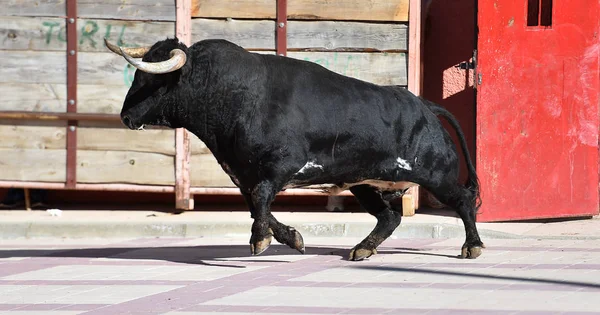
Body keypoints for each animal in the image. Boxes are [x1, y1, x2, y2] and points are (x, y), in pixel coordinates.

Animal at [105, 37, 486, 260]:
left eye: (151, 79)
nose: (125, 116)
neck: (232, 94)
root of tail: (424, 105)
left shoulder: (281, 166)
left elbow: (260, 200)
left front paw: (260, 241)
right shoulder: (243, 175)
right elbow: (256, 206)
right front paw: (292, 239)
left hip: (436, 175)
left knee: (463, 200)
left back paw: (473, 246)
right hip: (364, 183)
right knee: (389, 216)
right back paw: (362, 249)